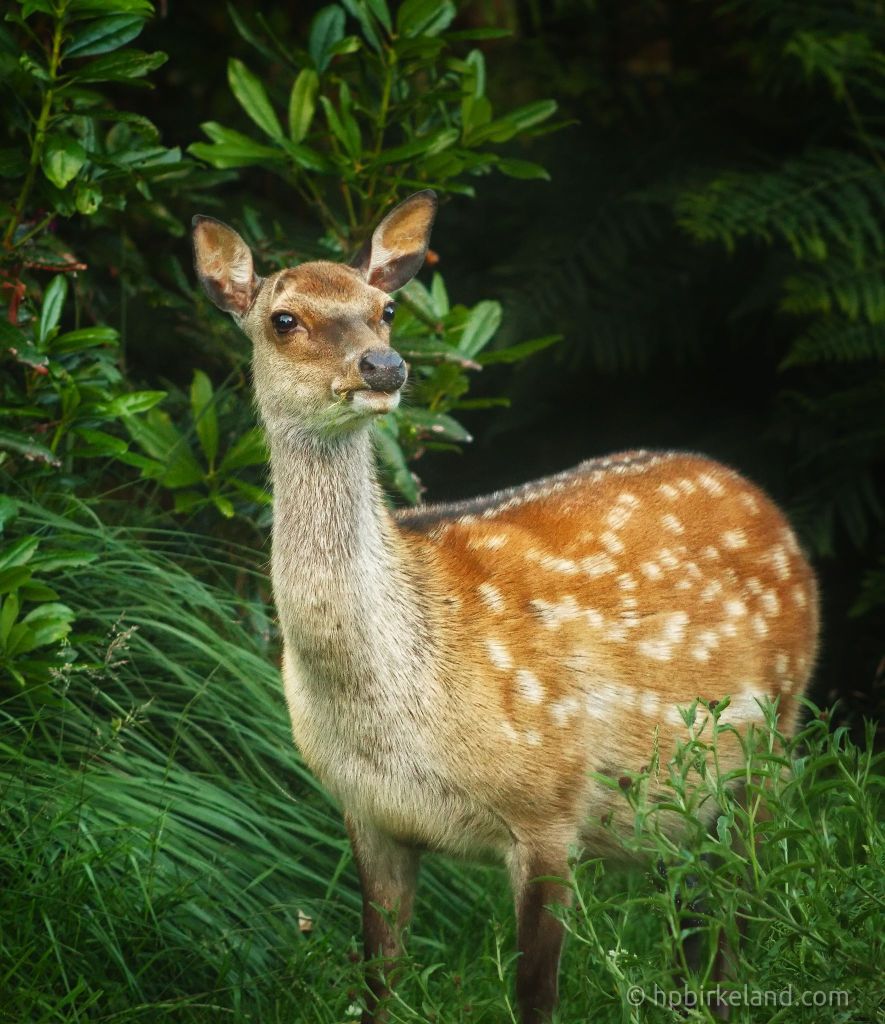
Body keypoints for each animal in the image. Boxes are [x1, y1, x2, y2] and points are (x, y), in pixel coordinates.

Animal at [192, 190, 819, 1024]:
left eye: (385, 309)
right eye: (283, 318)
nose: (384, 365)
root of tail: (771, 510)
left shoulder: (549, 801)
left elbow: (535, 995)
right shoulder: (366, 812)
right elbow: (377, 983)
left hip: (775, 743)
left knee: (735, 918)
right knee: (695, 929)